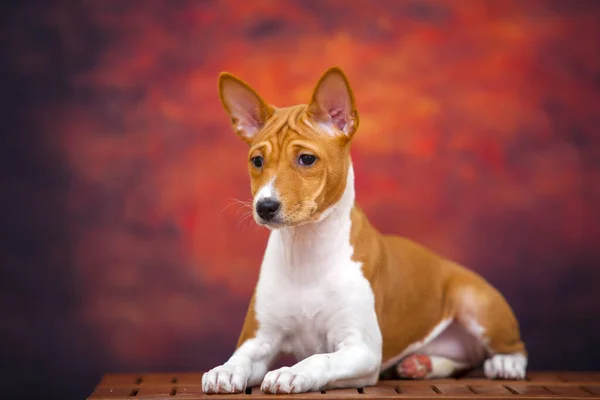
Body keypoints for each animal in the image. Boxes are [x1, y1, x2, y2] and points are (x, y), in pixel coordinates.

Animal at [200, 67, 524, 396]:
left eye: (307, 159)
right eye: (257, 161)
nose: (265, 206)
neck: (306, 253)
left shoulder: (362, 349)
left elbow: (319, 359)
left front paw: (291, 372)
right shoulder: (259, 338)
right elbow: (239, 358)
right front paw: (224, 370)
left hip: (475, 302)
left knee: (513, 348)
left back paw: (505, 364)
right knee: (463, 361)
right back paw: (422, 364)